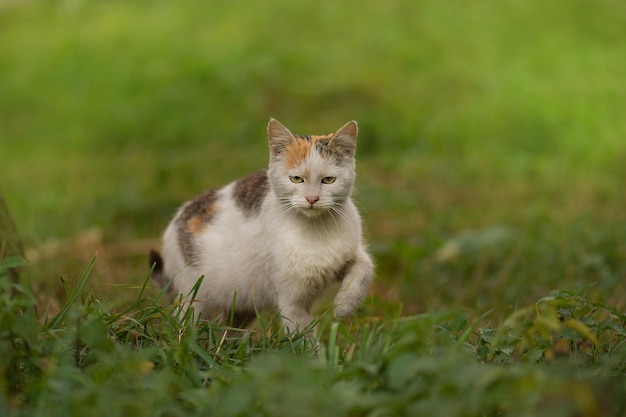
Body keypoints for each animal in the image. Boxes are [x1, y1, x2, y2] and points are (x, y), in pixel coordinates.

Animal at [149, 118, 372, 334]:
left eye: (328, 180)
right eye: (296, 179)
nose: (312, 199)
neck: (317, 230)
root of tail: (176, 220)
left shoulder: (350, 252)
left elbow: (365, 268)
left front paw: (344, 304)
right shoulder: (292, 304)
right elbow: (303, 336)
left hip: (243, 305)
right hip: (192, 299)